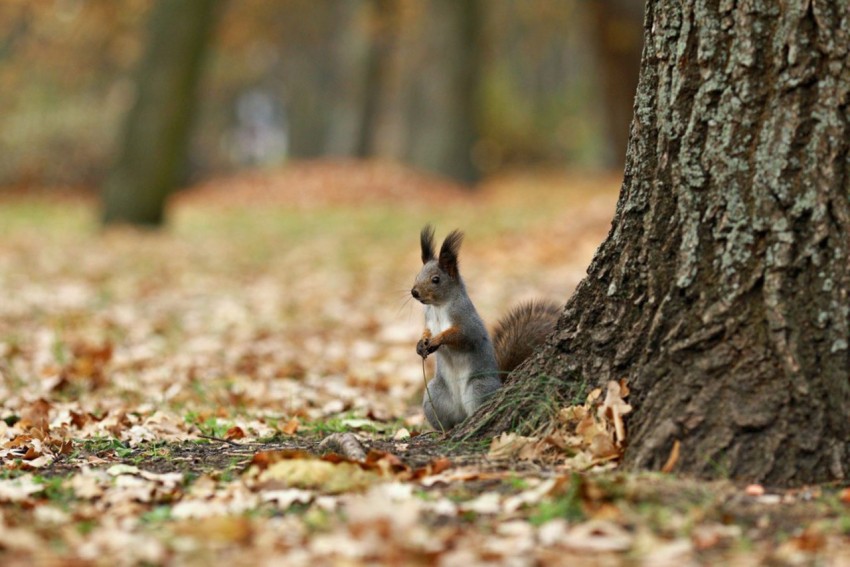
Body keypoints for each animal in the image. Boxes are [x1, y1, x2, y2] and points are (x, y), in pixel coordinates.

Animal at [410, 226, 560, 430]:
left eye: (436, 279)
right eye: (417, 275)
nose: (414, 292)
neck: (438, 307)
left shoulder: (468, 323)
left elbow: (459, 336)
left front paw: (437, 340)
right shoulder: (429, 321)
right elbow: (426, 331)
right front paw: (421, 344)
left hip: (478, 388)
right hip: (434, 394)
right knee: (448, 421)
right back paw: (446, 430)